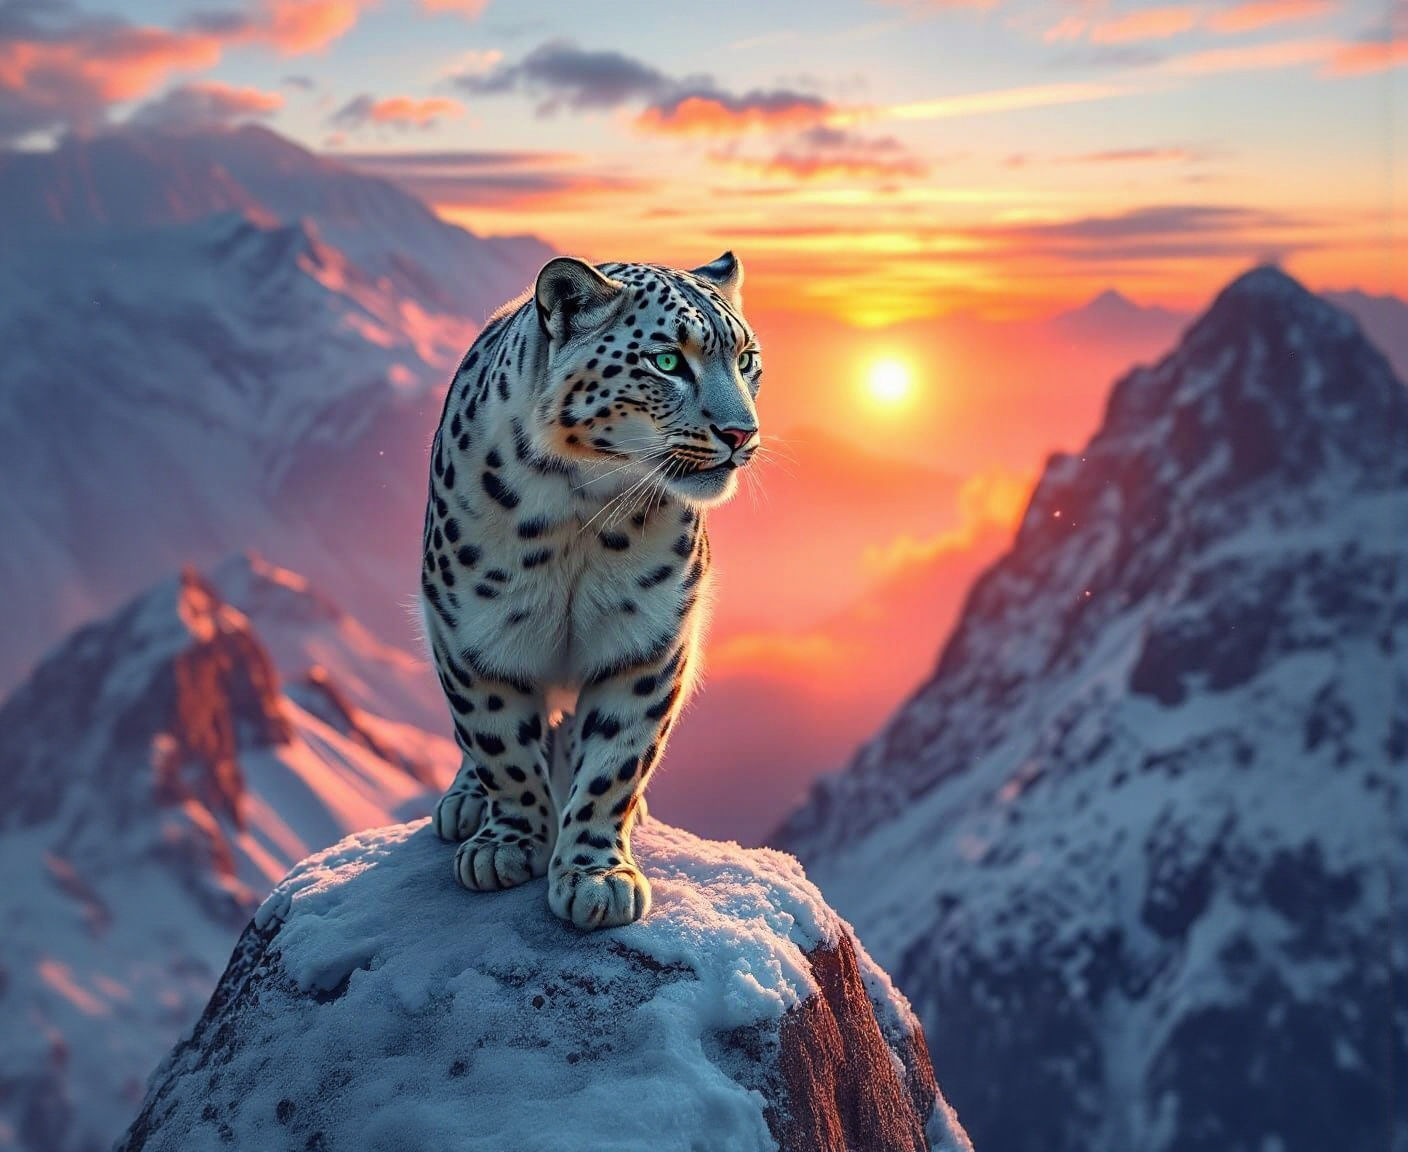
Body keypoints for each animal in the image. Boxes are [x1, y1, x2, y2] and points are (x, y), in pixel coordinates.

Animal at [420, 251, 761, 930]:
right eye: (667, 361)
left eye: (746, 359)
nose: (741, 432)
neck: (586, 509)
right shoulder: (472, 633)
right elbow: (498, 743)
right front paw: (508, 846)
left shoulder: (646, 641)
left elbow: (616, 759)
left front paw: (597, 876)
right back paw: (465, 803)